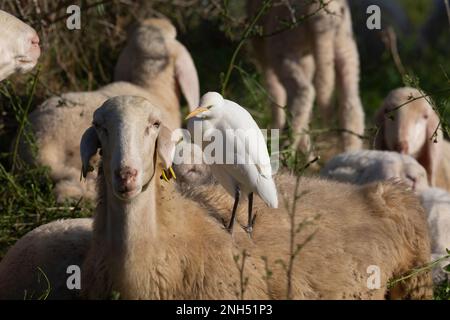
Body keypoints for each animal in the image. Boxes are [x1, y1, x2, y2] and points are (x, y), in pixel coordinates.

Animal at [248, 0, 368, 155]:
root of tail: (322, 14)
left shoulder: (261, 45)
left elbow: (274, 90)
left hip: (282, 44)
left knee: (302, 92)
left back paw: (285, 152)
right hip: (345, 43)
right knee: (351, 103)